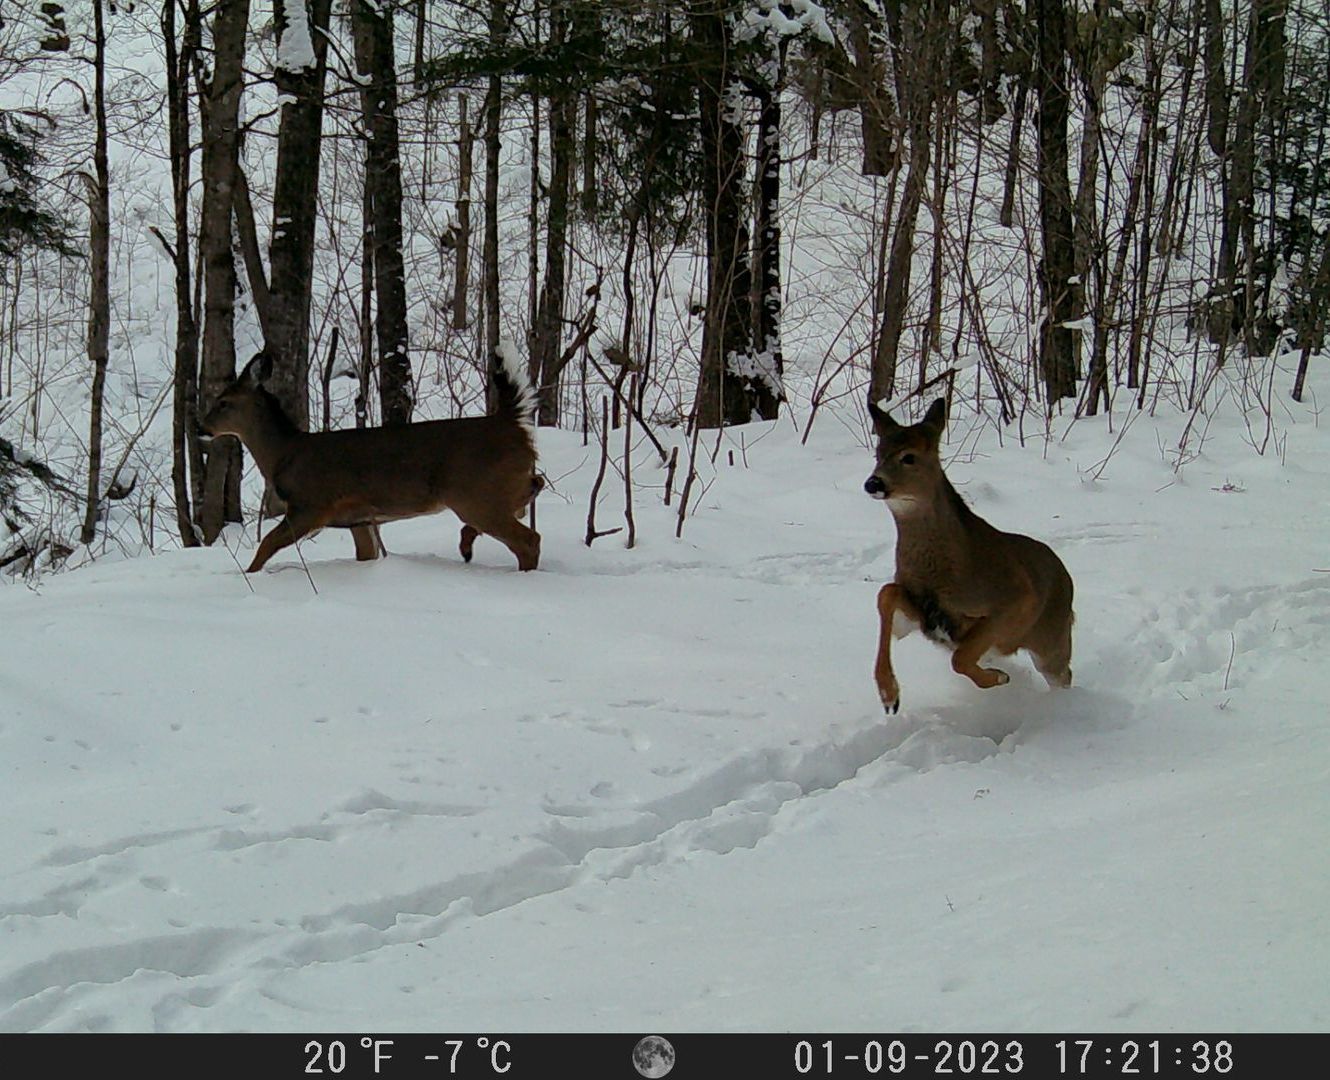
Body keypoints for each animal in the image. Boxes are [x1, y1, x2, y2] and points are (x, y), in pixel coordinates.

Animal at [200, 346, 541, 573]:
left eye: (224, 402)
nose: (201, 427)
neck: (283, 454)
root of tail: (511, 423)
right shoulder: (359, 518)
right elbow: (366, 554)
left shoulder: (311, 505)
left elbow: (267, 543)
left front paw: (247, 575)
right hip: (495, 487)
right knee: (533, 489)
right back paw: (468, 544)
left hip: (474, 492)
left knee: (529, 538)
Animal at [863, 397, 1074, 714]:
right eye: (878, 454)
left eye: (909, 457)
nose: (873, 483)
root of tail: (1066, 576)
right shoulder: (925, 615)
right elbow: (886, 593)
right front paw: (889, 695)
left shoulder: (1016, 599)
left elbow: (959, 658)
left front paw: (998, 677)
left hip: (1052, 639)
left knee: (1064, 674)